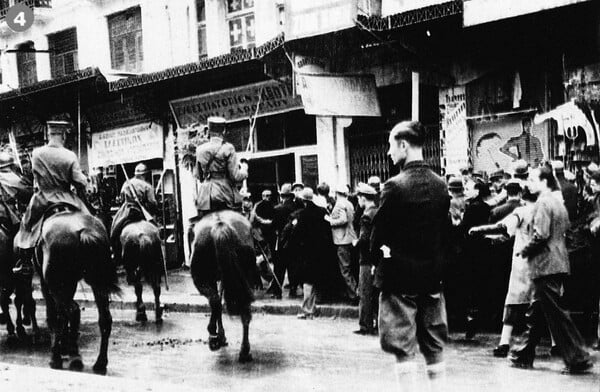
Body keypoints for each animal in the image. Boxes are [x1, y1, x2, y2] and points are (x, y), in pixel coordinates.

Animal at [36, 210, 119, 376]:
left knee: (73, 311)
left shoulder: (47, 286)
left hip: (56, 287)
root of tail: (84, 230)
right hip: (97, 284)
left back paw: (72, 359)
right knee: (105, 319)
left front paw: (58, 354)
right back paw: (100, 363)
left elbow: (54, 317)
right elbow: (61, 317)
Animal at [192, 210, 255, 362]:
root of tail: (219, 224)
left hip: (201, 278)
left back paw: (214, 336)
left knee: (215, 302)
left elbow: (217, 302)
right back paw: (244, 351)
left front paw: (219, 335)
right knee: (244, 310)